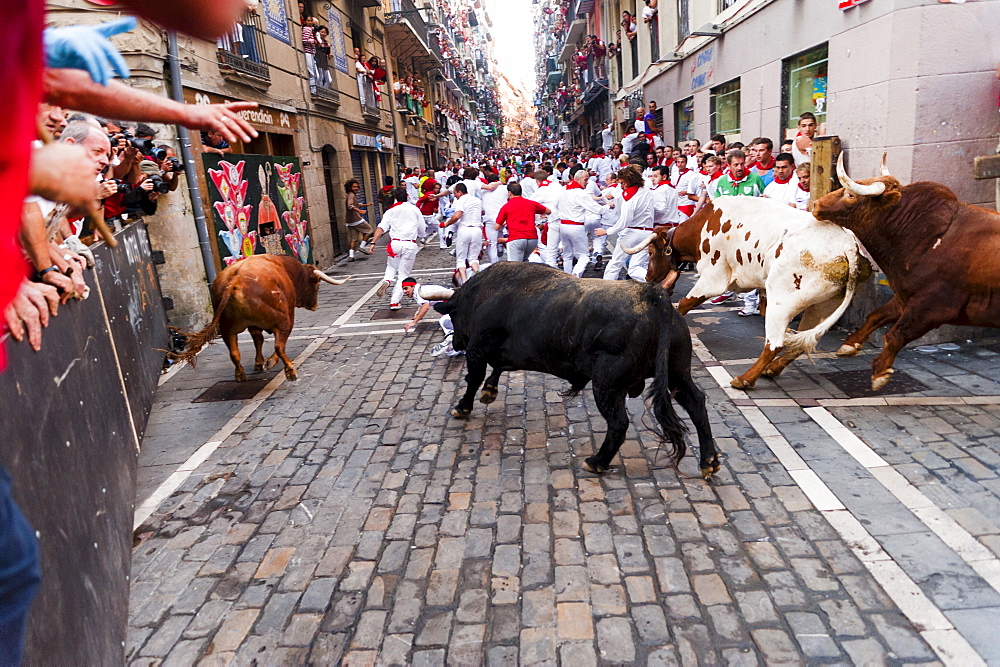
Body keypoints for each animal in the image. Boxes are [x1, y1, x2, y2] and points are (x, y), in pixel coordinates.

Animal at [170, 256, 346, 380]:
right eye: (317, 284)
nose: (314, 305)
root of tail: (236, 280)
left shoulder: (253, 325)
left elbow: (257, 340)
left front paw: (259, 362)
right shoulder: (288, 314)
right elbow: (274, 343)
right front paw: (267, 362)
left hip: (227, 329)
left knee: (234, 352)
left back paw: (240, 374)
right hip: (283, 321)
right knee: (279, 345)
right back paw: (289, 370)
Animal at [434, 262, 724, 480]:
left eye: (454, 316)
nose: (456, 343)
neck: (483, 294)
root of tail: (651, 294)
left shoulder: (478, 349)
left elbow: (474, 378)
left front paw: (463, 406)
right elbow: (498, 369)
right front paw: (490, 391)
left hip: (606, 385)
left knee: (619, 423)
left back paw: (596, 462)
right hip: (678, 374)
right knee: (696, 403)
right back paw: (709, 460)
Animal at [628, 196, 872, 388]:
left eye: (650, 252)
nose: (649, 277)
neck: (705, 224)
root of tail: (847, 245)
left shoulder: (713, 278)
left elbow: (685, 304)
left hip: (782, 302)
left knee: (775, 343)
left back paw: (745, 379)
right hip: (820, 306)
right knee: (802, 342)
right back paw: (772, 369)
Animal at [812, 156, 1000, 392]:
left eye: (850, 195)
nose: (816, 205)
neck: (924, 236)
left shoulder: (932, 306)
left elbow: (896, 335)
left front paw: (880, 372)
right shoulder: (904, 296)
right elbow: (876, 315)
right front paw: (849, 345)